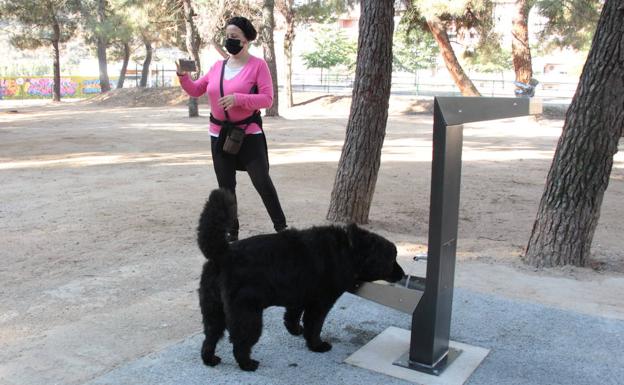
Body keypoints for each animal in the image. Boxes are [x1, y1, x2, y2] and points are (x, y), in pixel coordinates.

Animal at [197, 188, 408, 370]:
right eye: (393, 259)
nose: (403, 274)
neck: (350, 248)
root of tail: (224, 254)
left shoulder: (298, 296)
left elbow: (292, 317)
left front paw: (295, 330)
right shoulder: (320, 303)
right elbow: (314, 326)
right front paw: (316, 345)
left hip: (213, 309)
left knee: (210, 336)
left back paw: (210, 359)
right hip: (247, 314)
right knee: (240, 342)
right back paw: (247, 364)